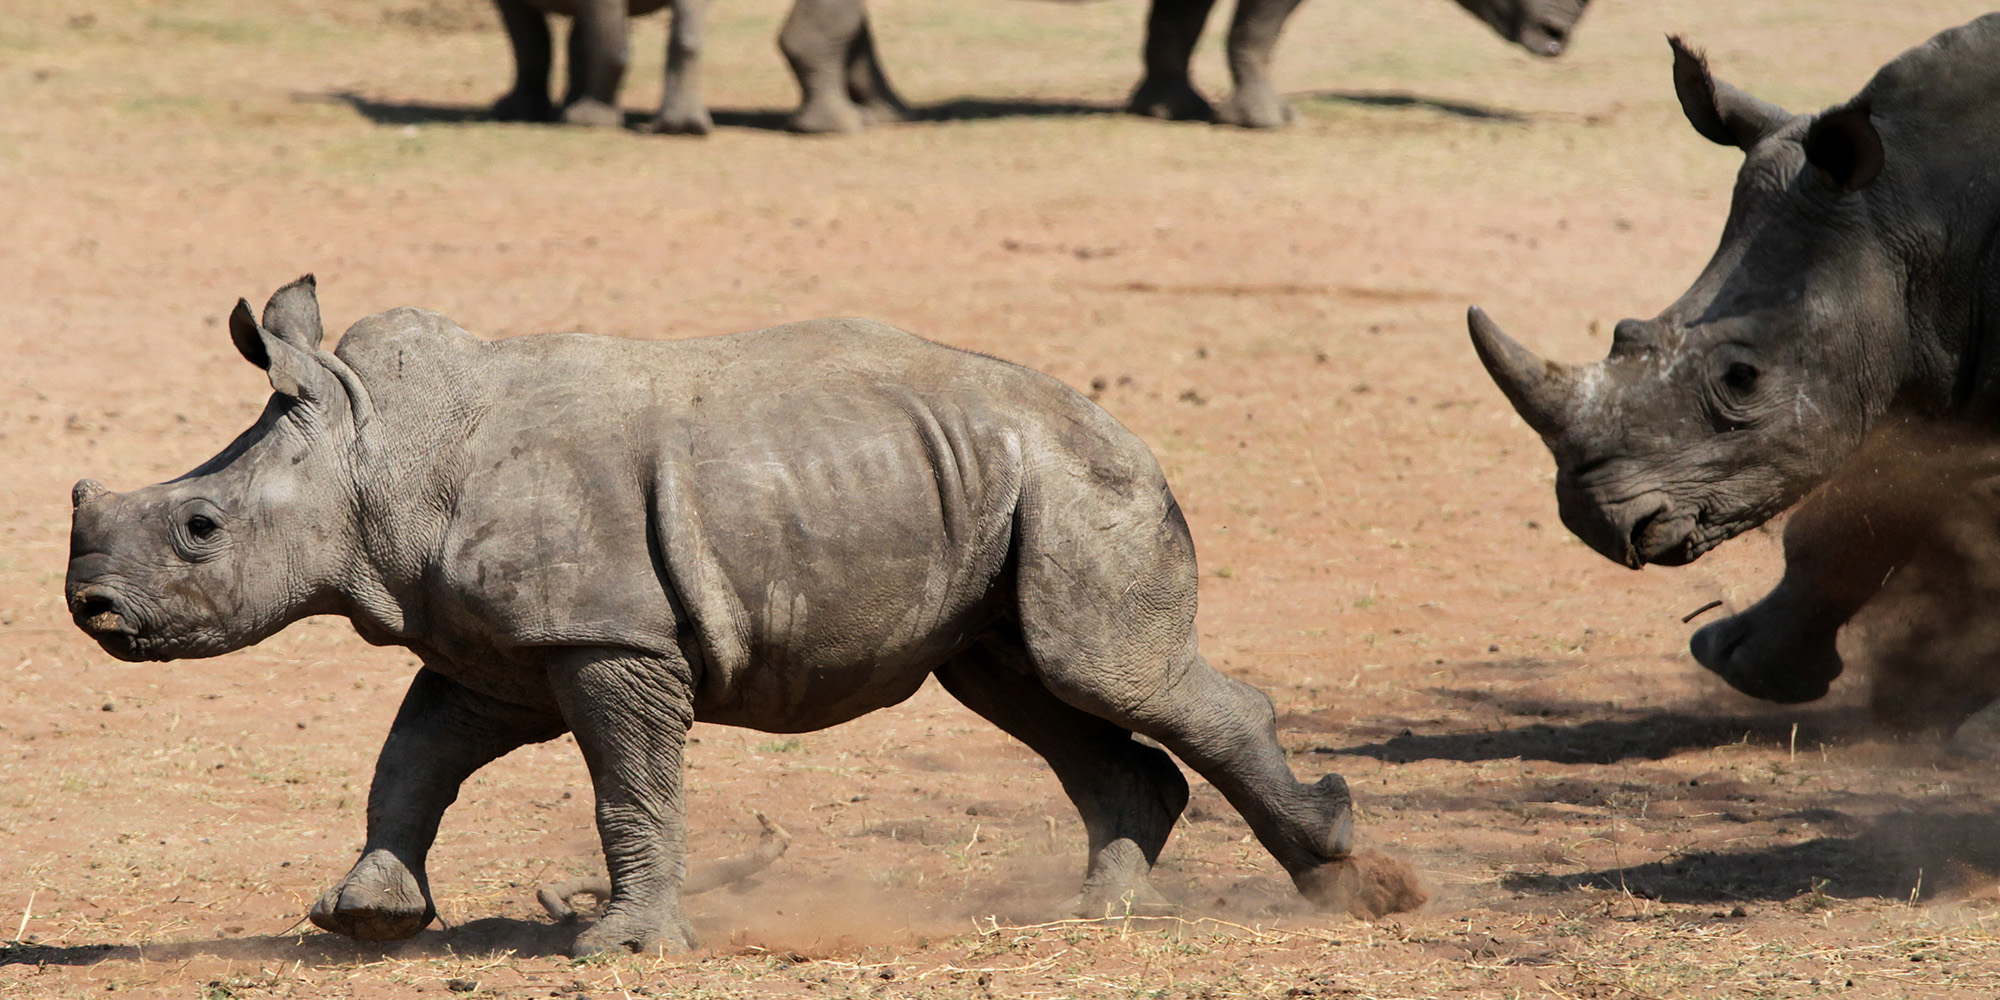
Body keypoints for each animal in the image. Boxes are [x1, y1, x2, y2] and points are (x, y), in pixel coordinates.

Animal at [65, 277, 1418, 955]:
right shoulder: (495, 647)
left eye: (200, 530)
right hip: (1000, 487)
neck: (375, 449)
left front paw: (622, 949)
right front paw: (362, 918)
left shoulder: (607, 634)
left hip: (1083, 484)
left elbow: (627, 786)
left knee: (1105, 674)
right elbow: (410, 761)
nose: (91, 607)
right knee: (1025, 685)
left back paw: (1349, 883)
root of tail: (1126, 429)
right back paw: (1097, 913)